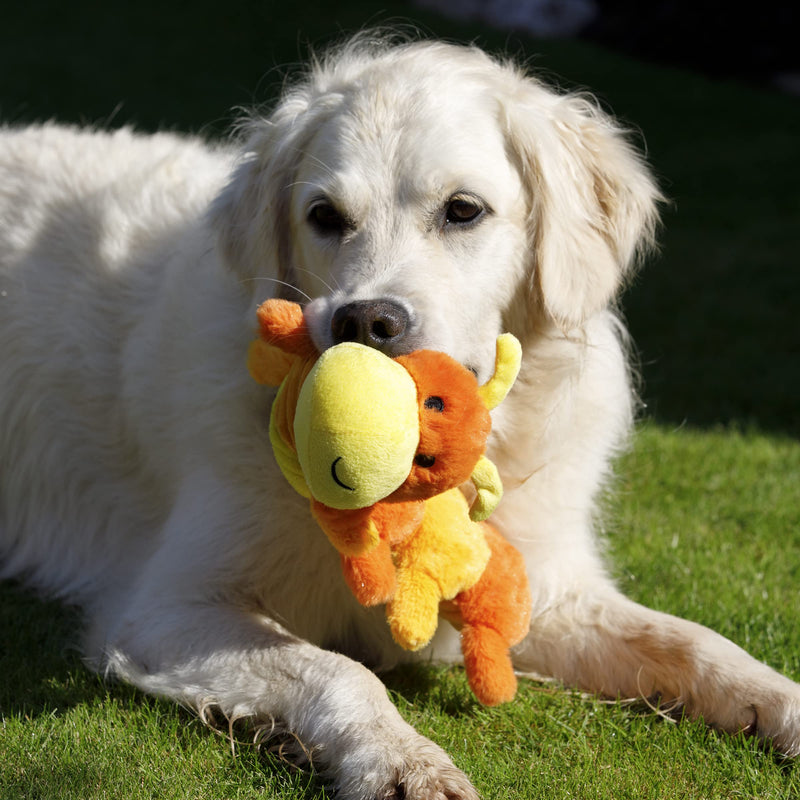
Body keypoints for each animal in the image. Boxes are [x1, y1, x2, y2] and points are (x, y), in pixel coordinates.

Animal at [1, 32, 800, 800]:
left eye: (463, 210)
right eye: (324, 217)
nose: (364, 320)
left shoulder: (548, 587)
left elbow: (693, 641)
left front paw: (781, 702)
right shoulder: (167, 606)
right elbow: (337, 669)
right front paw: (400, 762)